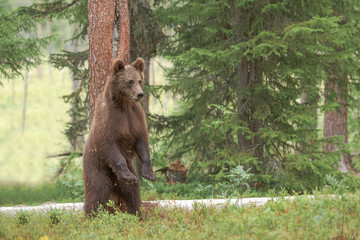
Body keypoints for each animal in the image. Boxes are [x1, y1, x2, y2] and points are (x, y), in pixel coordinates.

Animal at [83, 57, 156, 216]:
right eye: (130, 81)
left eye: (139, 80)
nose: (140, 94)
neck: (124, 104)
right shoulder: (109, 119)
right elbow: (108, 143)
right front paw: (127, 175)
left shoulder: (135, 117)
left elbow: (142, 140)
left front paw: (149, 173)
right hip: (96, 166)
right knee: (97, 191)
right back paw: (91, 215)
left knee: (132, 192)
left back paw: (137, 213)